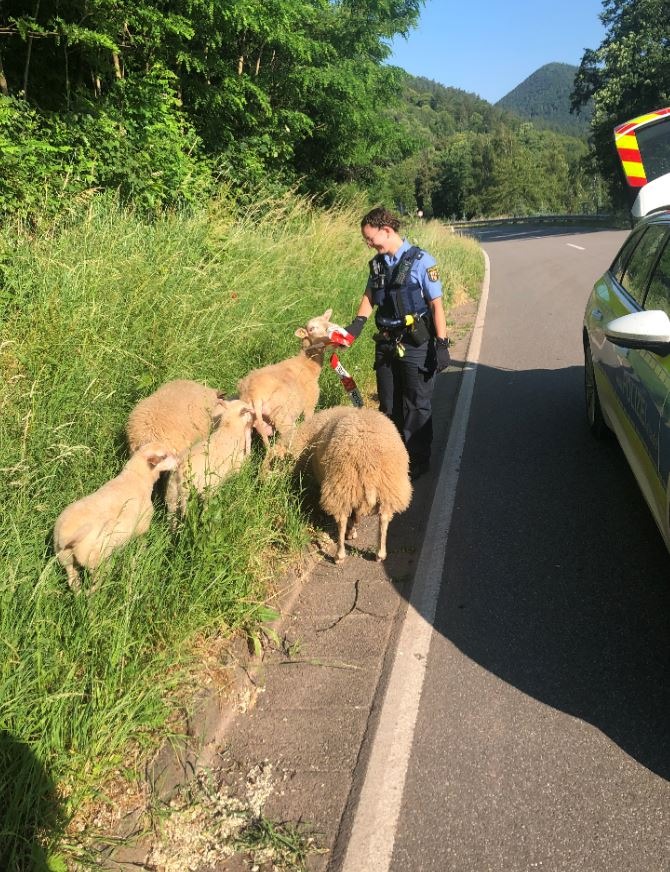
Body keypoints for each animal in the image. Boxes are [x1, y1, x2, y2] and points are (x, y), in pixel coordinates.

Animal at [53, 442, 177, 592]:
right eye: (164, 456)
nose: (179, 461)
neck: (137, 476)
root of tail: (66, 536)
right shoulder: (142, 526)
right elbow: (142, 542)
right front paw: (143, 553)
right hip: (96, 562)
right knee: (94, 585)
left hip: (65, 559)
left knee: (73, 581)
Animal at [239, 308, 338, 450]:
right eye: (312, 328)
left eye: (327, 322)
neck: (307, 363)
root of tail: (254, 394)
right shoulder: (310, 402)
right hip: (283, 418)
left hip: (247, 421)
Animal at [278, 406, 414, 564]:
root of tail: (369, 465)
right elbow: (356, 515)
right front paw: (354, 529)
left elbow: (352, 516)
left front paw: (351, 532)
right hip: (387, 489)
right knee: (384, 519)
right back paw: (380, 554)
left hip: (342, 486)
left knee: (342, 521)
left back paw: (339, 555)